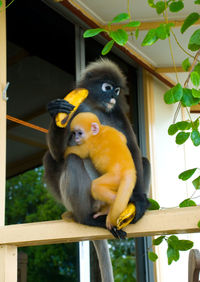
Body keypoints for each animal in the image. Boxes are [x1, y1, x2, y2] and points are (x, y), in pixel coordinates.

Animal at [43, 57, 150, 282]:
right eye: (107, 88)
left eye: (117, 91)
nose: (112, 97)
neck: (96, 106)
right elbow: (57, 155)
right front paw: (57, 113)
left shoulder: (117, 114)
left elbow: (133, 148)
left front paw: (139, 201)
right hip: (89, 199)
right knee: (72, 160)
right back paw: (85, 218)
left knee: (143, 161)